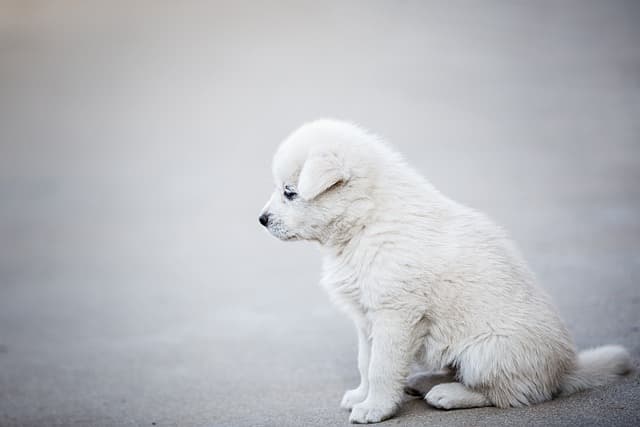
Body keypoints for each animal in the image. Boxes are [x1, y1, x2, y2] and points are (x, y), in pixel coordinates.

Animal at [258, 120, 632, 424]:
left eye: (290, 192)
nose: (261, 220)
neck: (366, 221)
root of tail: (565, 370)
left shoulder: (395, 315)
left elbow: (382, 367)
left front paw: (375, 408)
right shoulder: (366, 318)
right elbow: (366, 361)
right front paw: (361, 396)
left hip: (488, 352)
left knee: (511, 394)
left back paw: (448, 394)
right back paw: (424, 381)